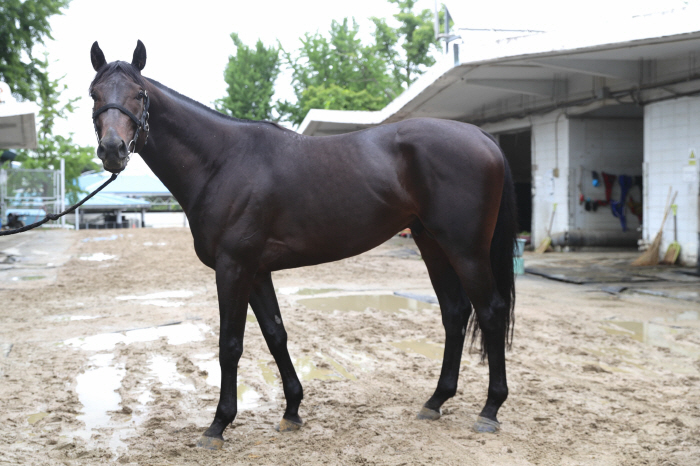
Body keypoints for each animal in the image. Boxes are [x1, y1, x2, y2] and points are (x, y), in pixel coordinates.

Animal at [87, 41, 516, 452]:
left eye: (140, 94)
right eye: (94, 94)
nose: (113, 149)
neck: (222, 162)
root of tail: (482, 137)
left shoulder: (233, 268)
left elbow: (230, 345)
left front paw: (218, 425)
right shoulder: (256, 271)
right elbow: (276, 335)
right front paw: (292, 410)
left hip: (466, 250)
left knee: (491, 313)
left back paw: (490, 409)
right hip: (432, 243)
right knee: (454, 314)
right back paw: (435, 401)